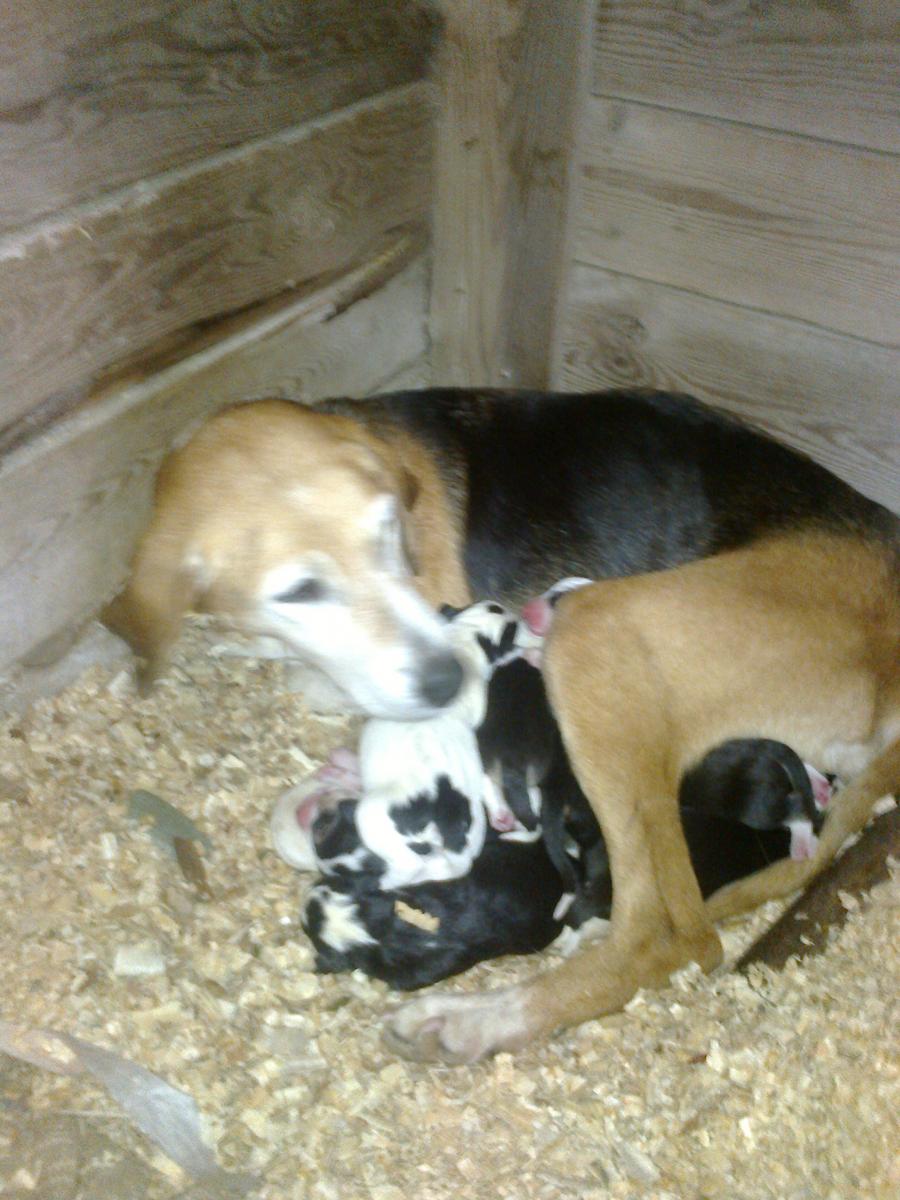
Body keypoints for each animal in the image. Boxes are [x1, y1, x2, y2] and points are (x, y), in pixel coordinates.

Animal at [106, 388, 900, 1062]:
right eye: (299, 590)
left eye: (389, 534)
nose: (449, 680)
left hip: (597, 633)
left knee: (668, 937)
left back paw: (476, 1020)